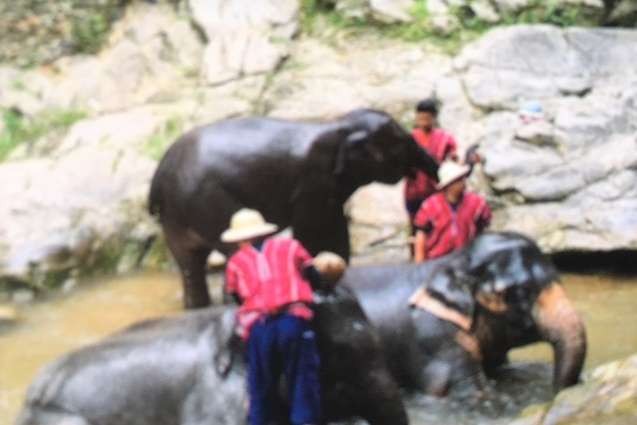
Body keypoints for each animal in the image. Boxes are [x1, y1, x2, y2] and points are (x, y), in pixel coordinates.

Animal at [148, 109, 438, 308]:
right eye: (401, 142)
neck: (338, 123)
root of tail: (160, 174)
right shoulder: (312, 182)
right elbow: (316, 230)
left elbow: (335, 228)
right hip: (208, 201)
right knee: (234, 251)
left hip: (176, 216)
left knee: (190, 265)